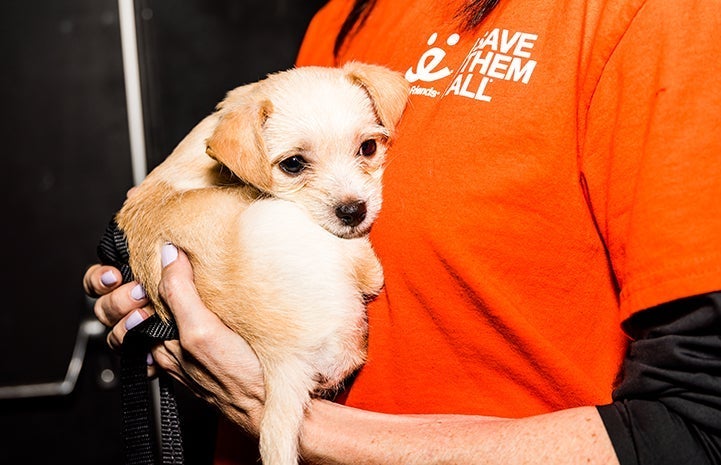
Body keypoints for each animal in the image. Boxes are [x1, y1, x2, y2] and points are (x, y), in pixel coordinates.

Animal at [116, 63, 410, 464]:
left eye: (368, 147)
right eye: (293, 164)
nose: (354, 212)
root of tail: (282, 360)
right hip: (283, 216)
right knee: (370, 273)